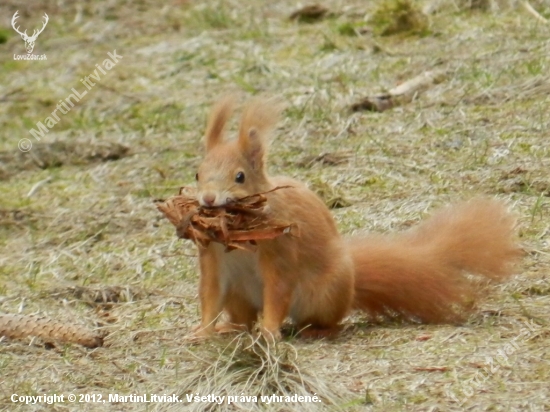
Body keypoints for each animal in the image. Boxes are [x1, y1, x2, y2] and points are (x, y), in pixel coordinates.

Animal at [192, 97, 524, 342]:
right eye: (197, 173)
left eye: (240, 177)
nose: (208, 199)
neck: (236, 233)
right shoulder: (213, 260)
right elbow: (210, 296)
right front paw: (202, 331)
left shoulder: (281, 250)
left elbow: (278, 291)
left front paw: (270, 331)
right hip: (239, 295)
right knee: (243, 318)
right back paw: (230, 327)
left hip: (324, 293)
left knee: (329, 321)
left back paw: (317, 331)